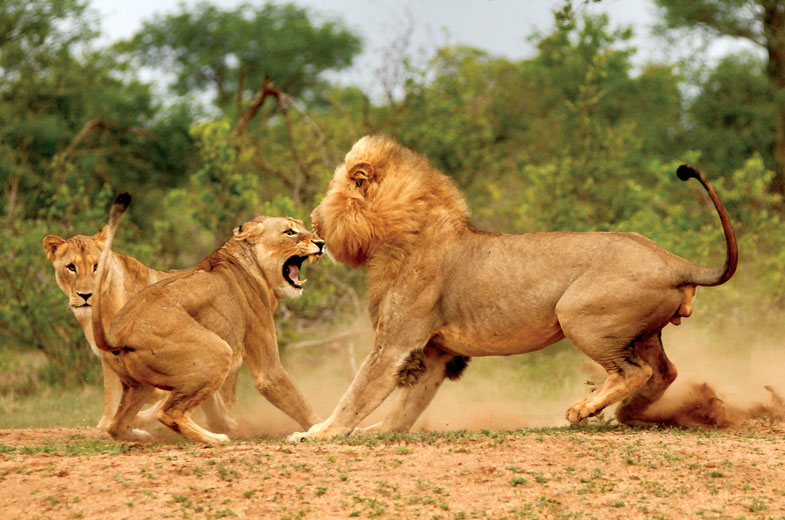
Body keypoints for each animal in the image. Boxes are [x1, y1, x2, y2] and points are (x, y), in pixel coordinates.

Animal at [92, 193, 324, 444]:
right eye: (289, 232)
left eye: (302, 226)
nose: (321, 243)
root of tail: (116, 333)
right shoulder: (268, 368)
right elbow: (295, 399)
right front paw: (319, 427)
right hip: (219, 351)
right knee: (169, 413)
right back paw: (215, 439)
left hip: (139, 386)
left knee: (116, 426)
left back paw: (142, 435)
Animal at [290, 133, 740, 438]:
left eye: (331, 193)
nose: (313, 218)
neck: (398, 235)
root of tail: (674, 261)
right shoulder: (435, 352)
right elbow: (408, 405)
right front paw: (381, 431)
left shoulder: (397, 343)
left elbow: (359, 391)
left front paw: (320, 432)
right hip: (643, 331)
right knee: (664, 372)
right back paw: (628, 413)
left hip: (578, 315)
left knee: (634, 370)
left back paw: (583, 410)